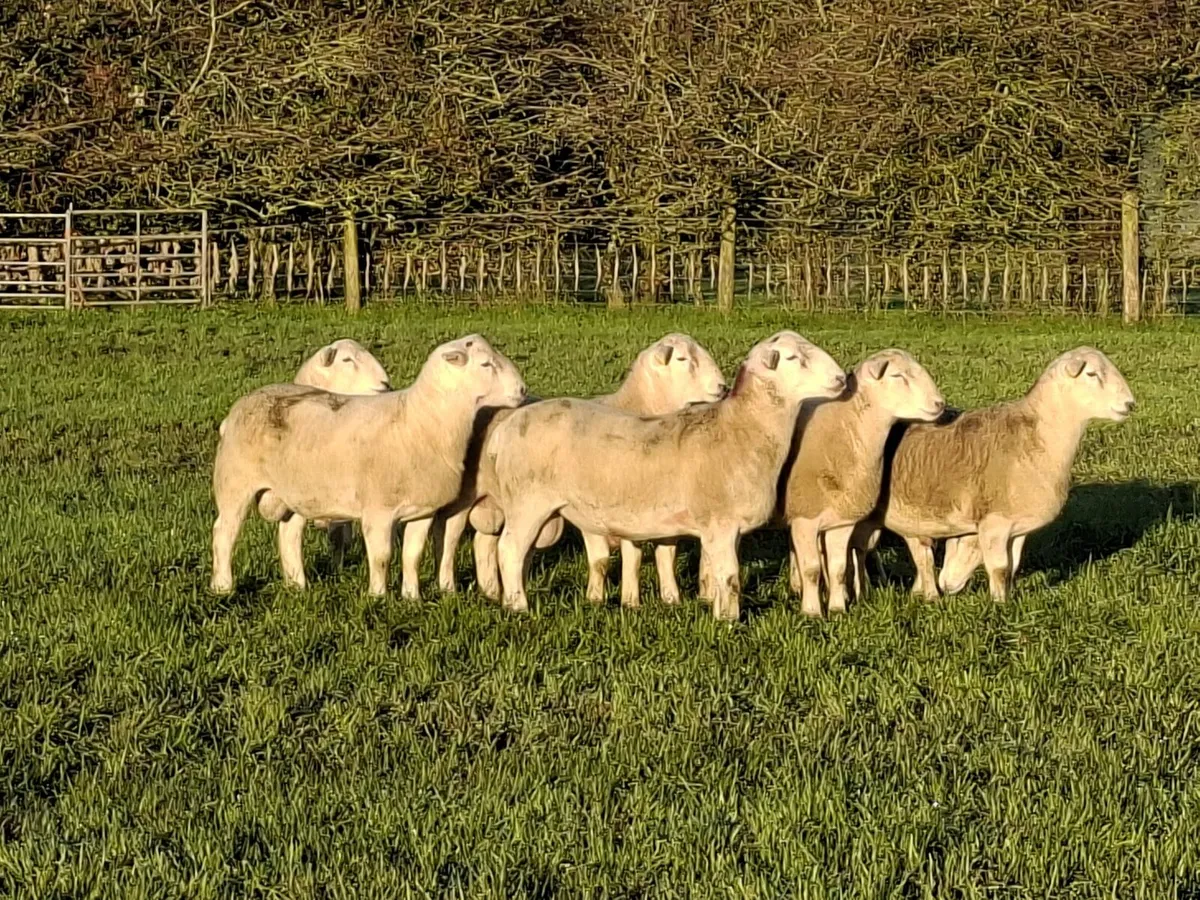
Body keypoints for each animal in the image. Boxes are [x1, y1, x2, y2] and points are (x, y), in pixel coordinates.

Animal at [210, 334, 526, 597]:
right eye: (486, 364)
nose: (522, 389)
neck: (419, 421)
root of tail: (239, 407)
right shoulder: (378, 510)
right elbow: (382, 556)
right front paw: (378, 597)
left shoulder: (422, 510)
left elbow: (413, 554)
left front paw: (412, 598)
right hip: (235, 482)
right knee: (224, 533)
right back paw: (223, 587)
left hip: (296, 493)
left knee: (289, 535)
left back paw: (298, 585)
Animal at [435, 333, 728, 608]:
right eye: (682, 359)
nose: (723, 387)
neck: (636, 406)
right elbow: (616, 558)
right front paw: (620, 601)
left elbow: (661, 554)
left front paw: (666, 599)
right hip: (471, 498)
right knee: (452, 536)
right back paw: (451, 587)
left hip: (496, 502)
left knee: (484, 542)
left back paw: (492, 592)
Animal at [488, 331, 846, 620]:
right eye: (794, 358)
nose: (842, 378)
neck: (741, 429)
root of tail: (506, 429)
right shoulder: (721, 522)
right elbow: (730, 576)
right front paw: (730, 621)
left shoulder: (722, 529)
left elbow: (719, 575)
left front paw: (718, 612)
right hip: (528, 502)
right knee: (509, 550)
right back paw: (518, 606)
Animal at [777, 349, 945, 618]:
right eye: (897, 375)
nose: (940, 404)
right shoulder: (805, 518)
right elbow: (812, 568)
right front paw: (812, 612)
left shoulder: (842, 519)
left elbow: (837, 566)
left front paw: (837, 608)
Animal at [848, 346, 1135, 603]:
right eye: (1092, 374)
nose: (1130, 404)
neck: (1037, 438)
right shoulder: (995, 522)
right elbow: (998, 567)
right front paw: (998, 605)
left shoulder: (1018, 529)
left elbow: (1012, 566)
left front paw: (1008, 599)